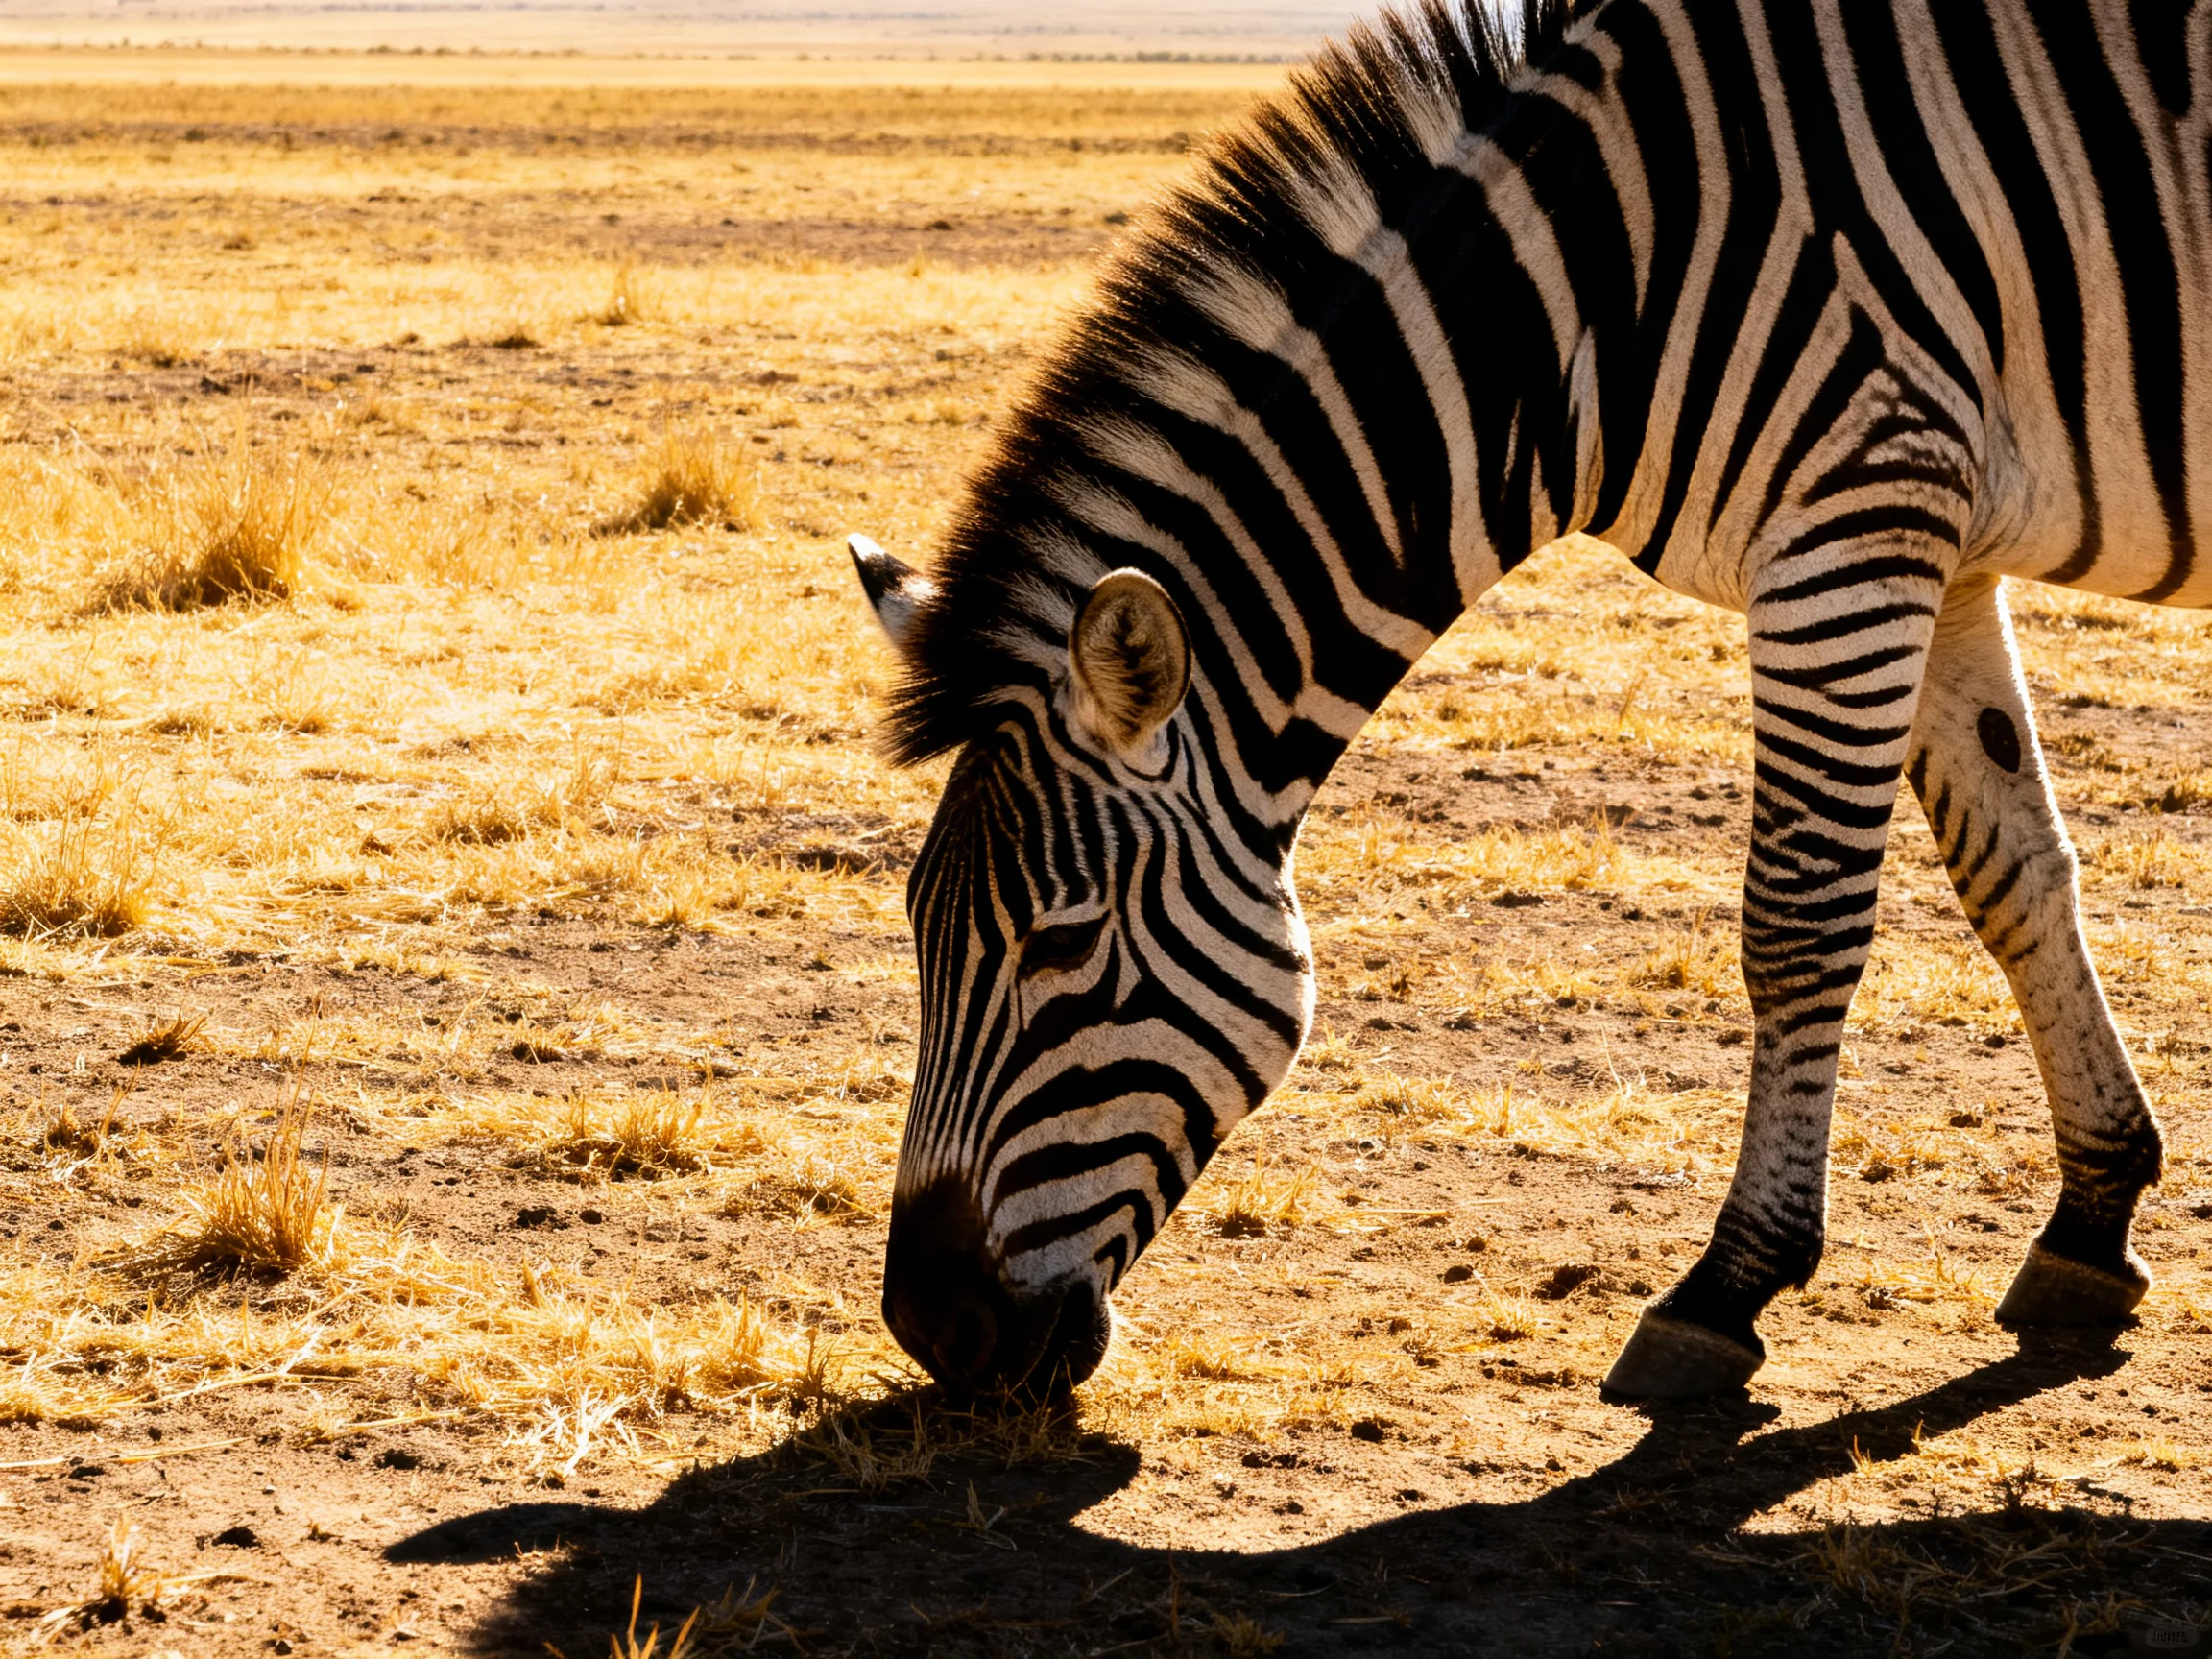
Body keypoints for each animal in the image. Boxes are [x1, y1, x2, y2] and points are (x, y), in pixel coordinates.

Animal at [847, 0, 2192, 1399]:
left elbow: (1798, 922)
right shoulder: (1937, 534)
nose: (933, 1327)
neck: (1603, 289)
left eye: (1062, 945)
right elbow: (2016, 872)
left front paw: (1729, 1285)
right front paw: (2095, 1220)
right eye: (917, 927)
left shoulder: (1855, 511)